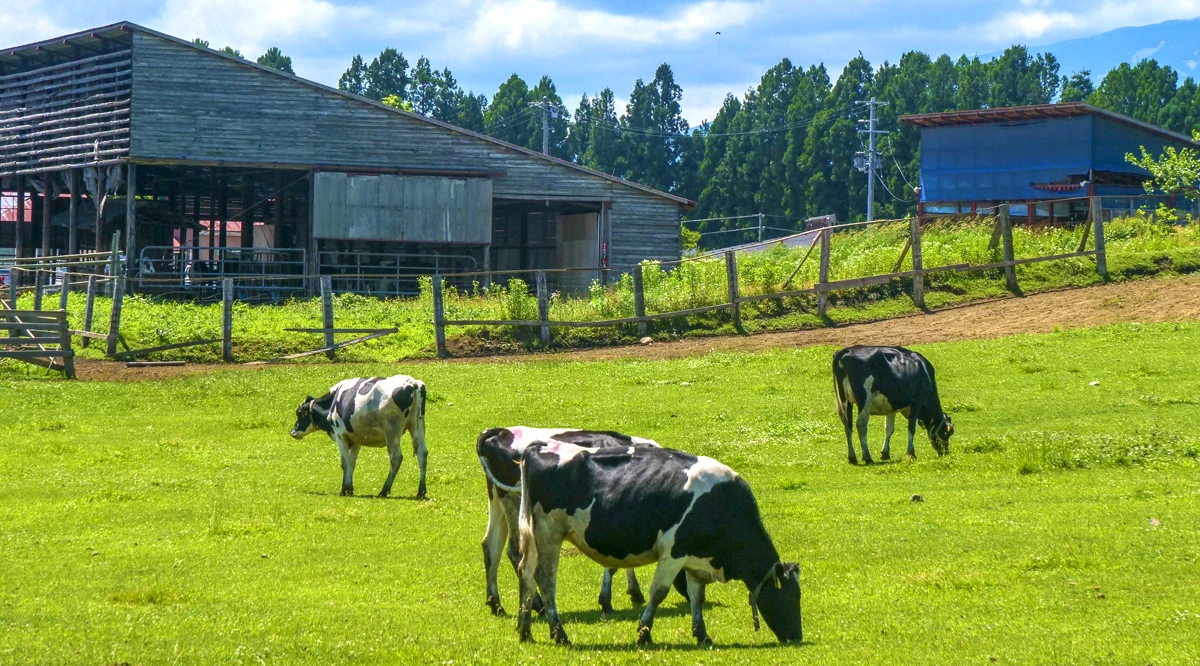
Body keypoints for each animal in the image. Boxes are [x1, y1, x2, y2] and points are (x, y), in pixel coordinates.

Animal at [291, 376, 432, 496]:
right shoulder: (356, 439)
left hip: (392, 431)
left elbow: (345, 462)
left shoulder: (340, 435)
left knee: (396, 457)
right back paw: (421, 491)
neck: (333, 403)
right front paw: (350, 488)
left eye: (299, 413)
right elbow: (352, 463)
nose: (293, 432)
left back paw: (384, 490)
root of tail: (412, 382)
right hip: (417, 425)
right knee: (422, 454)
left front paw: (344, 489)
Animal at [477, 429, 686, 619]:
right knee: (515, 551)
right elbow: (613, 563)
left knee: (491, 546)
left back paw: (496, 605)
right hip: (516, 506)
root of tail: (499, 432)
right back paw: (538, 605)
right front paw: (607, 600)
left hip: (498, 500)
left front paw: (633, 592)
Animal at [513, 444, 801, 648]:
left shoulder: (695, 558)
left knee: (525, 572)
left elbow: (697, 597)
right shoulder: (673, 553)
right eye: (790, 597)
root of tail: (535, 448)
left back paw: (525, 631)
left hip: (533, 534)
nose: (797, 636)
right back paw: (560, 634)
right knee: (545, 579)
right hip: (550, 532)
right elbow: (658, 593)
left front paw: (702, 635)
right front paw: (644, 634)